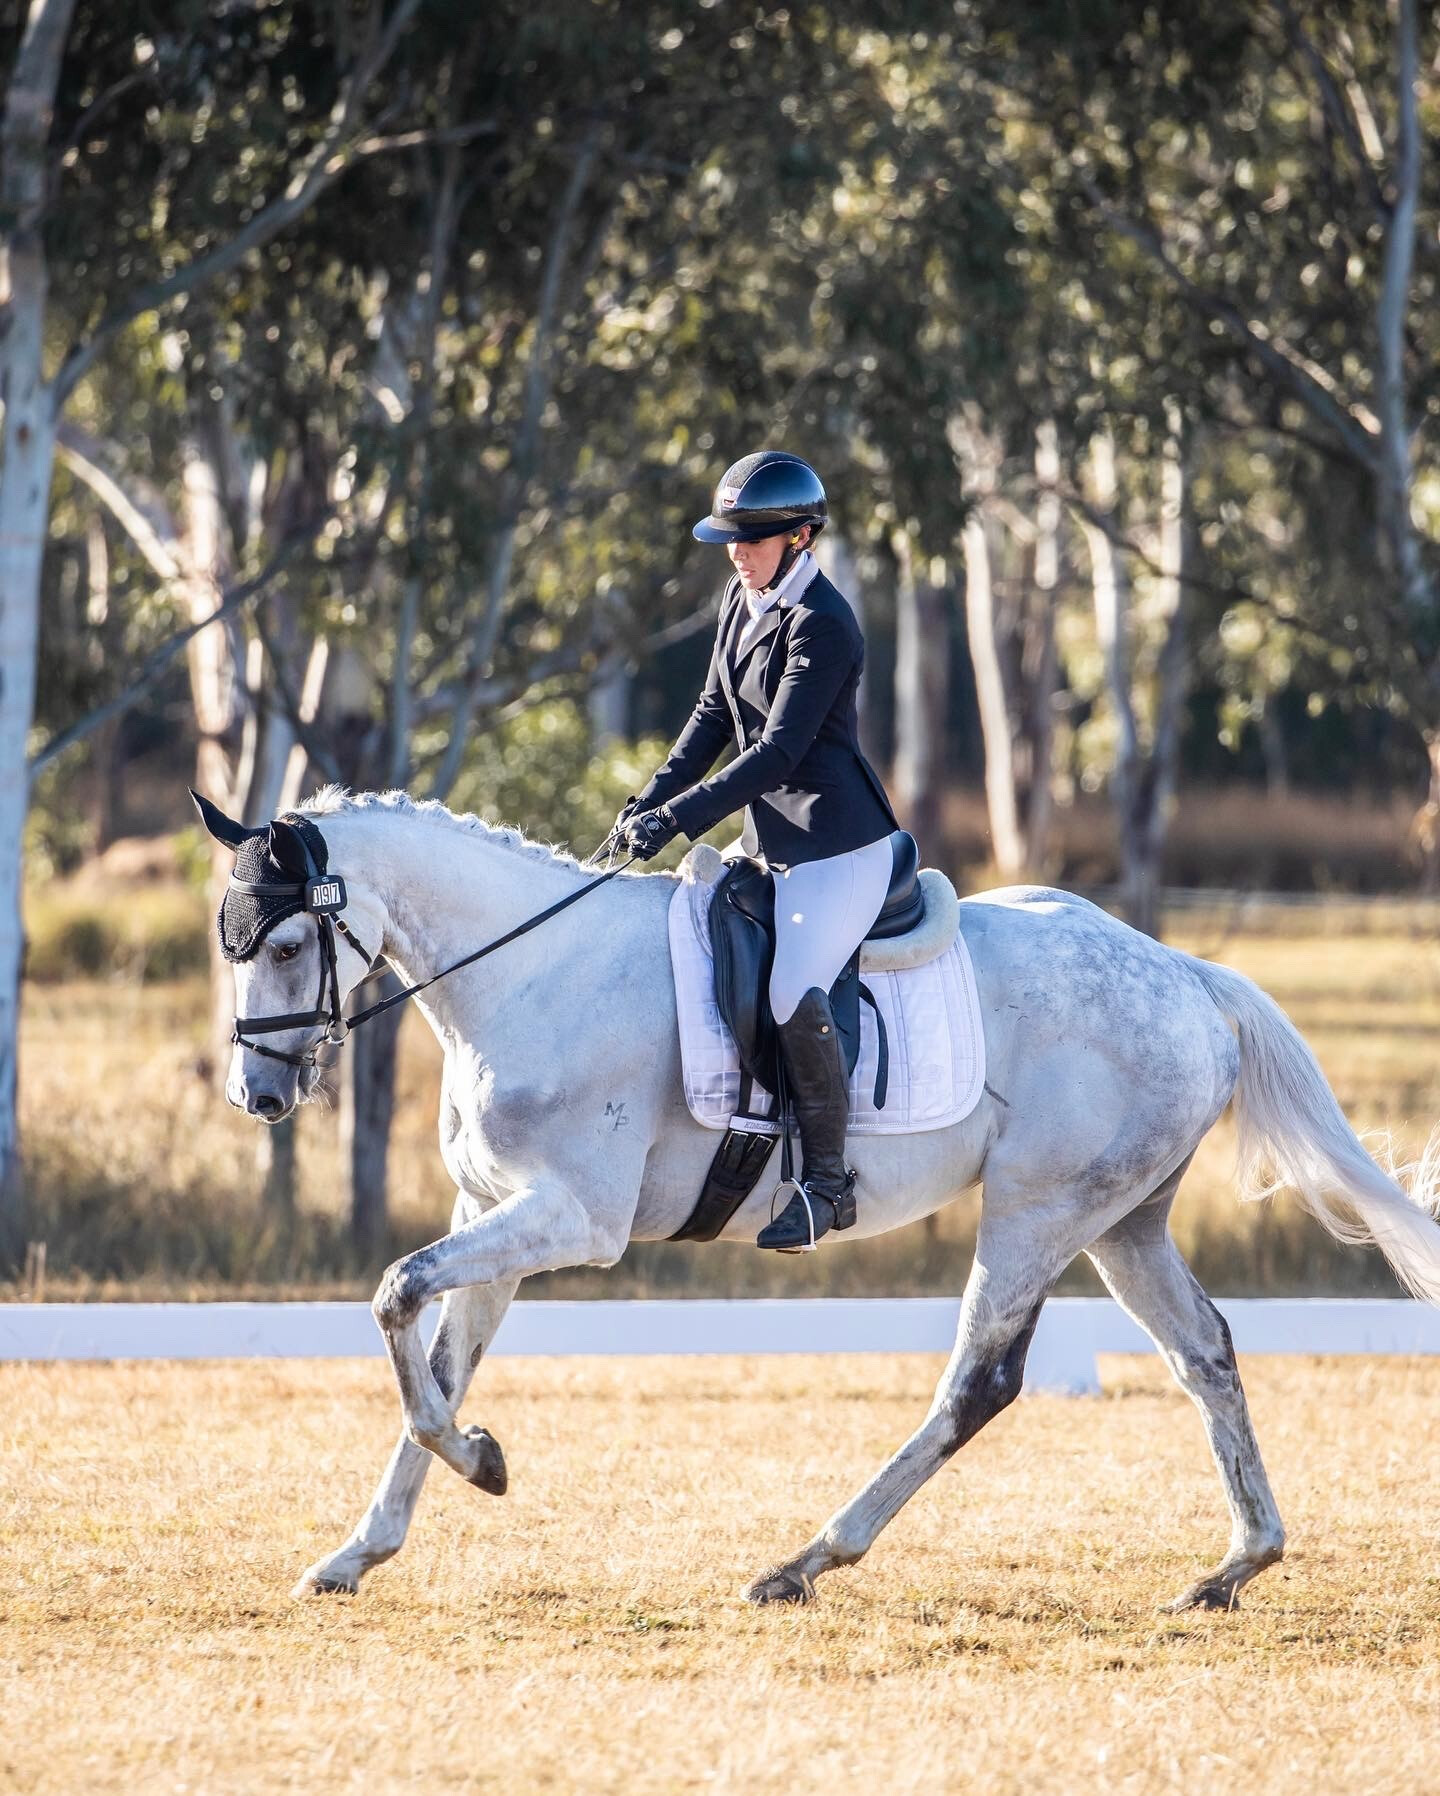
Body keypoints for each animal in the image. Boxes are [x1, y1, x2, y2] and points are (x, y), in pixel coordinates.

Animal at [210, 793, 1436, 1609]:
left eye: (287, 941)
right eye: (235, 946)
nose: (259, 1095)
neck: (529, 973)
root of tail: (1189, 976)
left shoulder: (573, 1222)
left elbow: (393, 1297)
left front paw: (480, 1461)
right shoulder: (493, 1217)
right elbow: (437, 1362)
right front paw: (365, 1545)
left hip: (1039, 1210)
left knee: (978, 1383)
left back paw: (806, 1560)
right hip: (1122, 1222)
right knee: (1206, 1353)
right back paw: (1235, 1565)